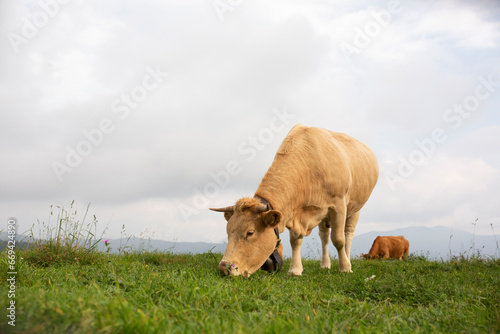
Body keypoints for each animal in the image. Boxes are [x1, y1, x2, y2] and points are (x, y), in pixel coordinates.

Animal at [211, 124, 378, 276]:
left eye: (250, 233)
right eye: (228, 231)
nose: (224, 267)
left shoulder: (338, 205)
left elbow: (338, 239)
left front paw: (345, 268)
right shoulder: (296, 211)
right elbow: (295, 241)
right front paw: (295, 269)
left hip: (355, 209)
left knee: (348, 235)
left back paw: (347, 261)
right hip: (324, 215)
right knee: (324, 236)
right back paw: (325, 264)